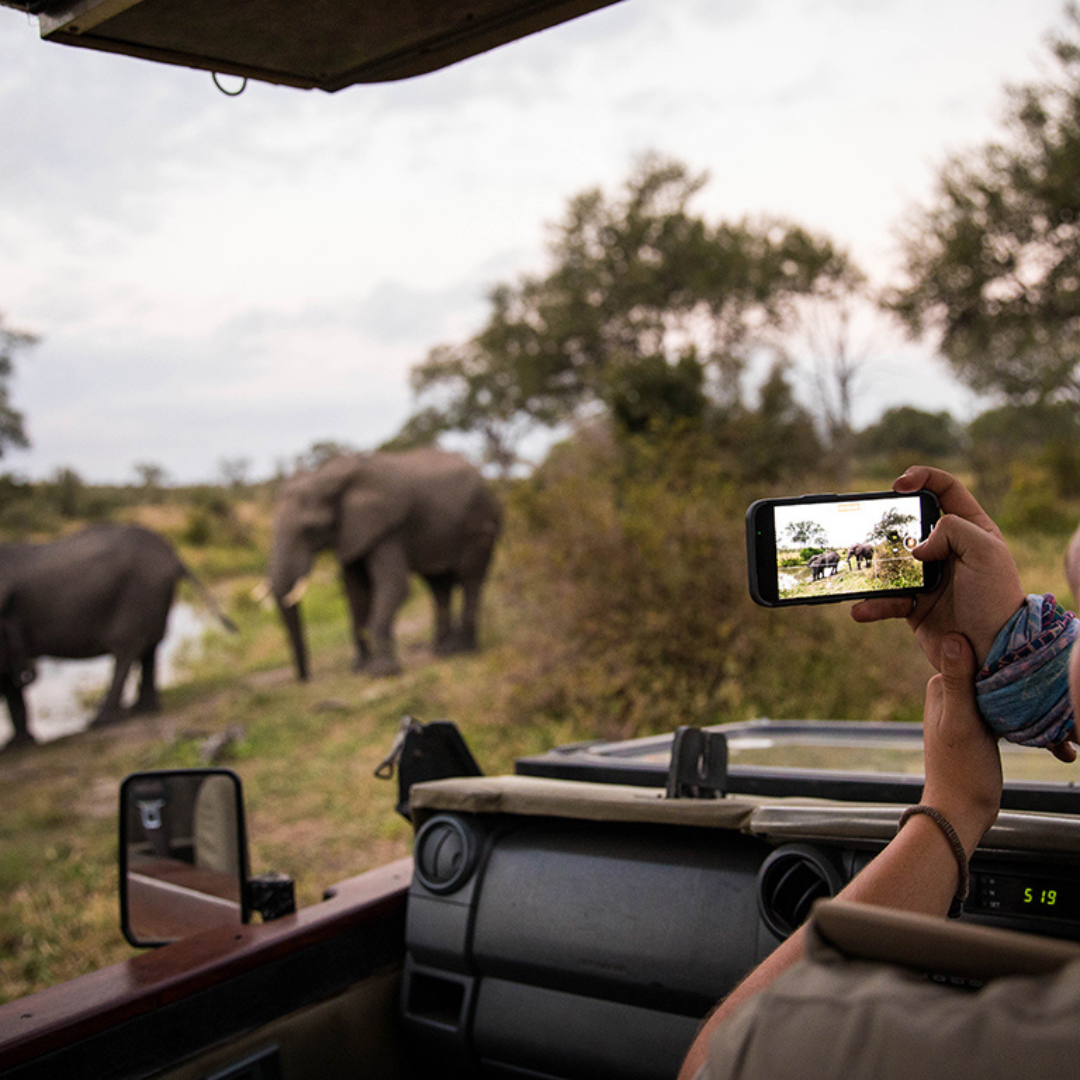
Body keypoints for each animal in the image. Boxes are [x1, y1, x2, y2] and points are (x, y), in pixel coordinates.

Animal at [0, 522, 235, 751]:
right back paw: (141, 710)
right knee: (148, 649)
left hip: (138, 593)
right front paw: (18, 744)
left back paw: (102, 721)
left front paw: (16, 746)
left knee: (126, 650)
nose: (28, 669)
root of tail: (173, 554)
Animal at [270, 444, 505, 678]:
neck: (325, 476)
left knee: (470, 579)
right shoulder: (350, 532)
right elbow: (356, 591)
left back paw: (464, 650)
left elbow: (394, 584)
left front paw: (382, 672)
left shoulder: (388, 529)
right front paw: (360, 669)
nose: (305, 679)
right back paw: (442, 651)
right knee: (438, 585)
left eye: (310, 529)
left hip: (480, 524)